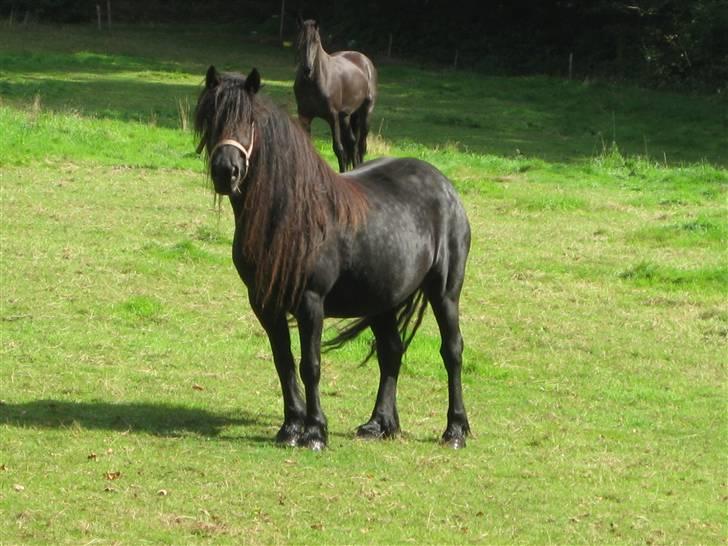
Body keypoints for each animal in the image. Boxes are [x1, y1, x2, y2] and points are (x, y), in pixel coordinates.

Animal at [194, 66, 471, 450]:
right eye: (211, 119)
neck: (289, 214)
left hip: (444, 293)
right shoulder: (265, 303)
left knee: (452, 351)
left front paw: (314, 432)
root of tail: (445, 186)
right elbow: (284, 361)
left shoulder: (311, 302)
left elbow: (310, 364)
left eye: (250, 121)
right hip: (382, 300)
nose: (226, 171)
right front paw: (290, 428)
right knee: (391, 351)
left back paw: (455, 430)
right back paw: (379, 424)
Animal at [294, 17, 377, 172]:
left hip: (366, 112)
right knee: (352, 143)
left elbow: (338, 149)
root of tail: (365, 60)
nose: (307, 69)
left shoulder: (332, 117)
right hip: (345, 117)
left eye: (316, 41)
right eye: (300, 40)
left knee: (361, 146)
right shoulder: (304, 116)